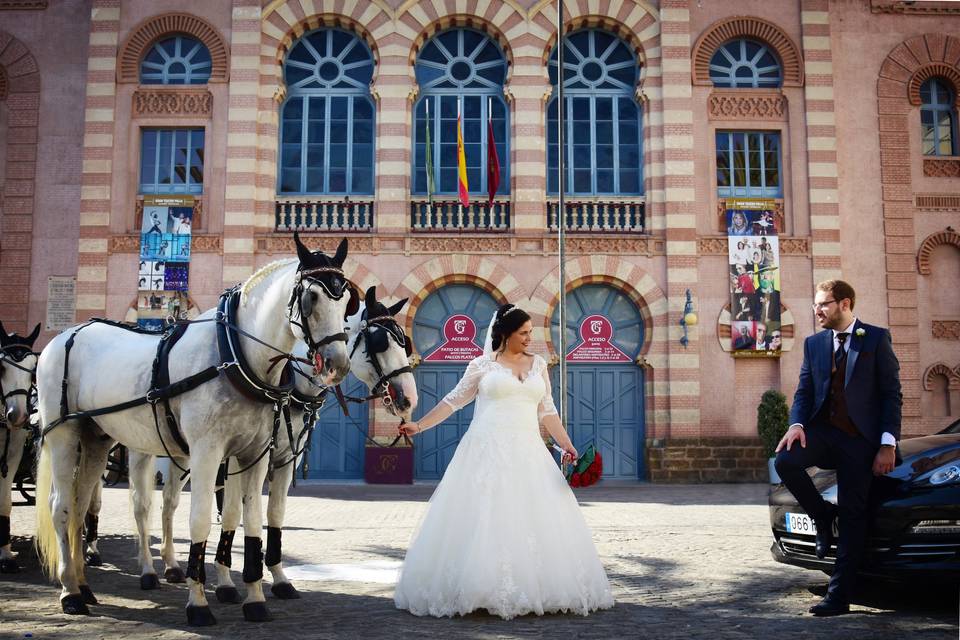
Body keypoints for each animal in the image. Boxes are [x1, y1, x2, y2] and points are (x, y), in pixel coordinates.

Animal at [33, 235, 358, 624]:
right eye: (311, 298)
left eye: (347, 302)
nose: (338, 365)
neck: (234, 355)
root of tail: (64, 336)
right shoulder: (207, 452)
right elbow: (201, 520)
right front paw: (199, 602)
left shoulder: (256, 454)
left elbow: (250, 521)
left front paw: (254, 598)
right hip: (65, 436)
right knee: (64, 507)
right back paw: (71, 591)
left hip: (97, 438)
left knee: (81, 507)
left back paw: (84, 585)